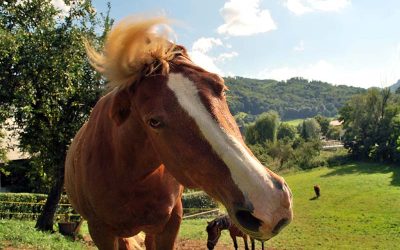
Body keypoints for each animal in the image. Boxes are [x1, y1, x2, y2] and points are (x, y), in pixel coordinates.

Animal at [64, 16, 292, 250]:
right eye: (153, 122)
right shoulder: (101, 233)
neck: (128, 173)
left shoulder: (171, 223)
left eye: (221, 87)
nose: (270, 204)